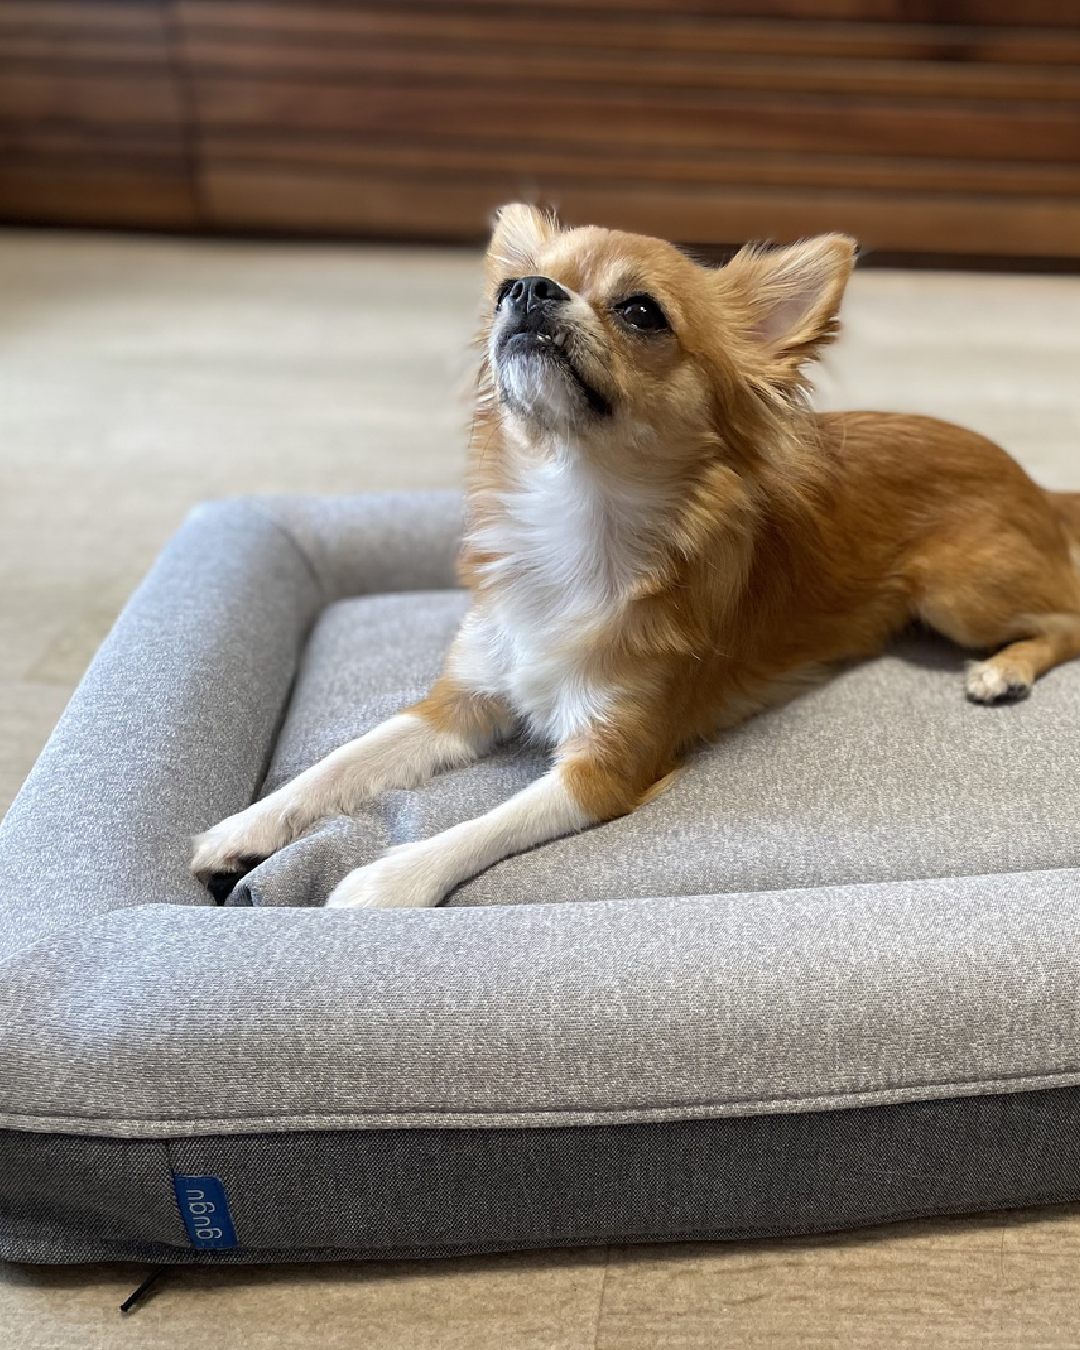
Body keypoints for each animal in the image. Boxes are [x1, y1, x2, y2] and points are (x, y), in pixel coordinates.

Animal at [190, 202, 1080, 907]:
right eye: (507, 290)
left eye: (643, 311)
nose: (526, 291)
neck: (576, 517)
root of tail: (1032, 481)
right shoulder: (459, 703)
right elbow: (343, 760)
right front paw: (247, 824)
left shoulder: (603, 768)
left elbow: (481, 827)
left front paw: (385, 878)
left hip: (957, 593)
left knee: (1067, 615)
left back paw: (1004, 670)